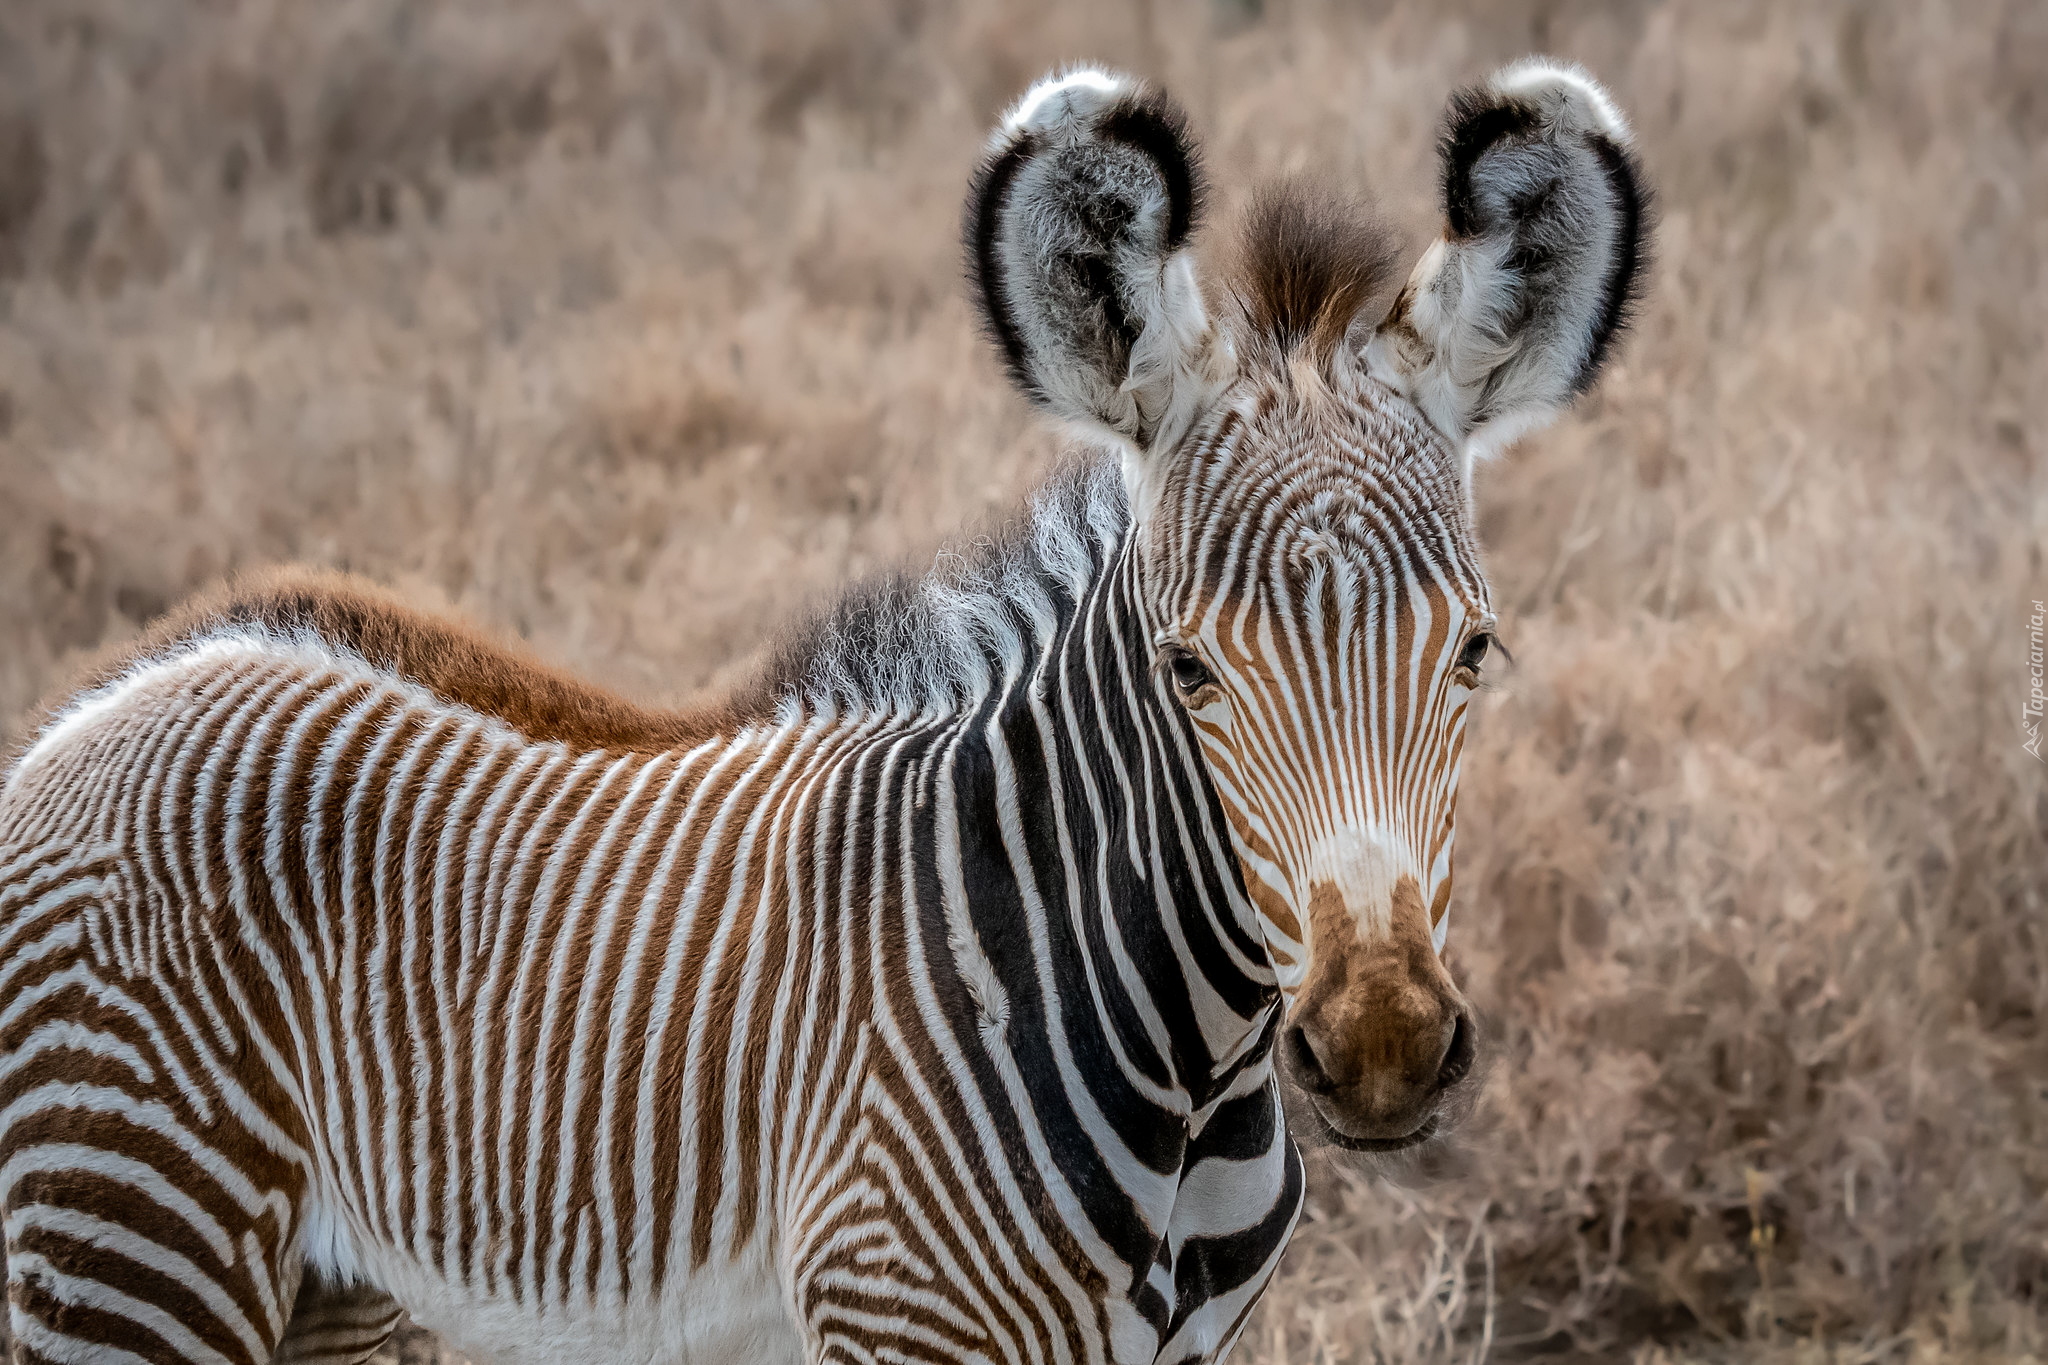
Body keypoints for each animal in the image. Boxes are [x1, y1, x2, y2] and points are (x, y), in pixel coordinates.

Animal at [0, 56, 1638, 1365]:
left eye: (1474, 653)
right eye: (1189, 671)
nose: (1381, 1048)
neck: (1182, 1064)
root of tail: (93, 716)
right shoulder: (892, 1317)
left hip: (320, 1294)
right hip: (130, 1241)